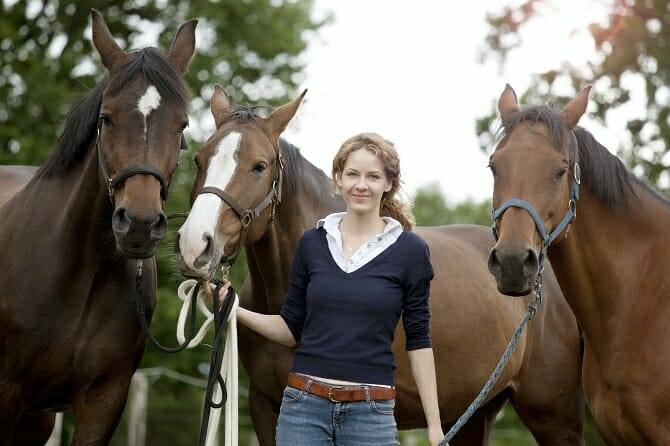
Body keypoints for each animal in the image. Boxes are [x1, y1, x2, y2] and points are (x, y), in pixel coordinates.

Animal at [176, 88, 584, 446]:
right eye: (198, 159)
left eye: (259, 166)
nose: (195, 244)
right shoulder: (266, 407)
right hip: (473, 413)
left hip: (554, 417)